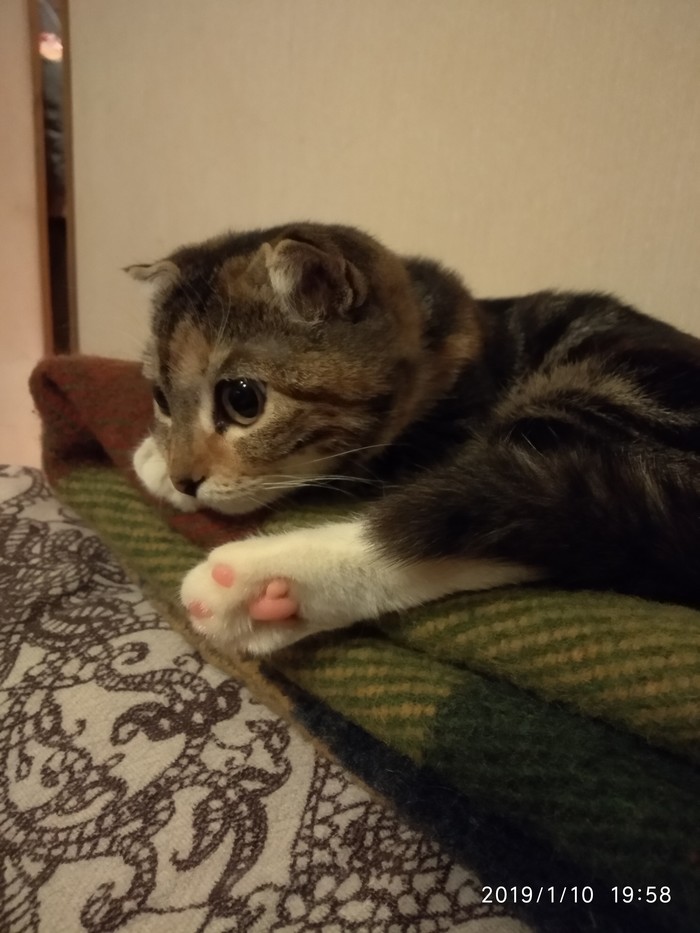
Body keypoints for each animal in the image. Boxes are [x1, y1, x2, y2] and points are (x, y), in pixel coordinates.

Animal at [130, 222, 700, 656]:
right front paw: (157, 460)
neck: (436, 342)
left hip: (604, 399)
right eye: (160, 397)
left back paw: (258, 586)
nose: (185, 479)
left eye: (242, 400)